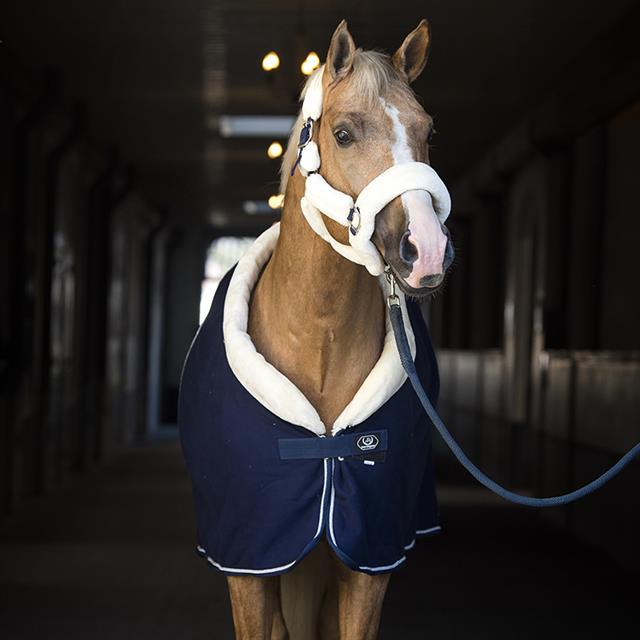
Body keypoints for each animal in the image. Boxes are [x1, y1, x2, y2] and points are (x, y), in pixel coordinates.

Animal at [180, 17, 456, 636]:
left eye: (428, 130)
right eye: (344, 133)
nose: (426, 250)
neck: (320, 345)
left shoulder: (370, 559)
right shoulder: (250, 563)